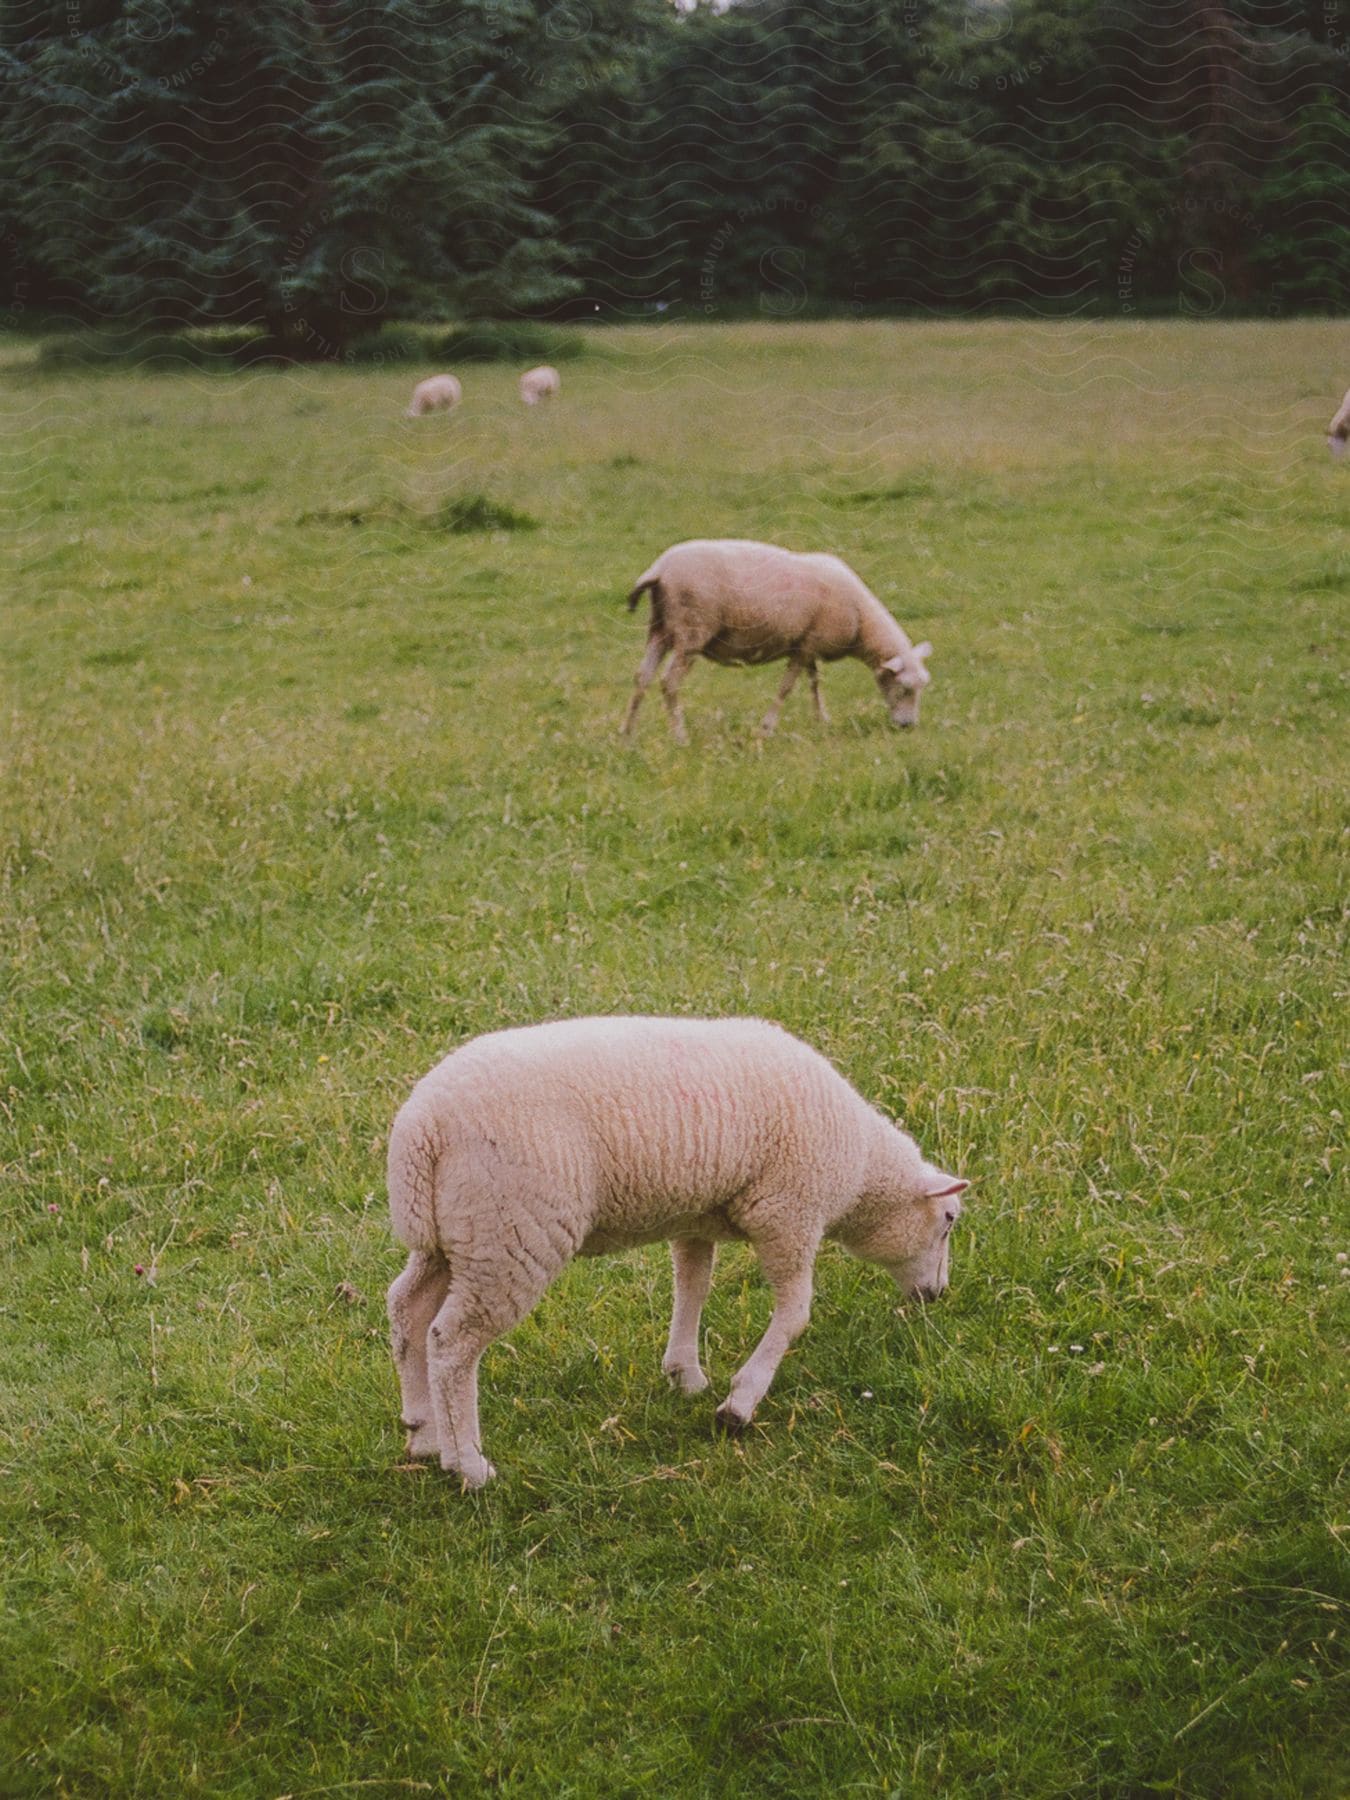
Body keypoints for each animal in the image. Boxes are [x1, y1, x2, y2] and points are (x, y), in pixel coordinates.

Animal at [385, 1015, 964, 1490]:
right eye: (949, 1222)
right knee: (453, 1344)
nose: (937, 1295)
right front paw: (739, 1403)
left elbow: (693, 1287)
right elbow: (795, 1315)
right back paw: (468, 1464)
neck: (862, 1166)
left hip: (457, 1238)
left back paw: (423, 1435)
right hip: (510, 1234)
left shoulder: (694, 1218)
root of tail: (422, 1129)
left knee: (408, 1311)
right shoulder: (791, 1213)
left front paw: (684, 1373)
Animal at [626, 540, 936, 752]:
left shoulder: (808, 644)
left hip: (660, 629)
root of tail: (660, 569)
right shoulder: (805, 647)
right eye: (904, 688)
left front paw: (821, 719)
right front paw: (766, 729)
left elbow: (814, 682)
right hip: (691, 632)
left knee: (642, 677)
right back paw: (680, 737)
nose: (907, 727)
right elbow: (787, 688)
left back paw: (626, 734)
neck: (862, 622)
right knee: (669, 682)